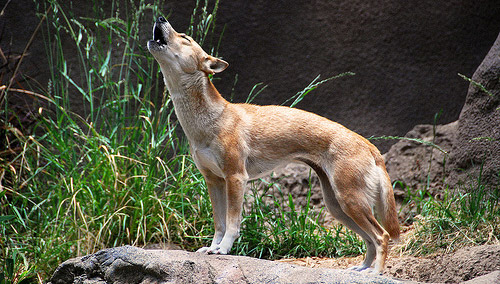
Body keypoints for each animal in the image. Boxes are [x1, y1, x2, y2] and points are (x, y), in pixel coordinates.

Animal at [146, 16, 400, 272]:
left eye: (185, 38)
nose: (160, 18)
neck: (210, 121)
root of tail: (370, 146)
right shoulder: (214, 181)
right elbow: (219, 224)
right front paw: (212, 248)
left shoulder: (236, 177)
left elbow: (232, 224)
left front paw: (223, 249)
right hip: (338, 206)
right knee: (370, 239)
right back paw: (362, 269)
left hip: (349, 201)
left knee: (382, 236)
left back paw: (375, 274)